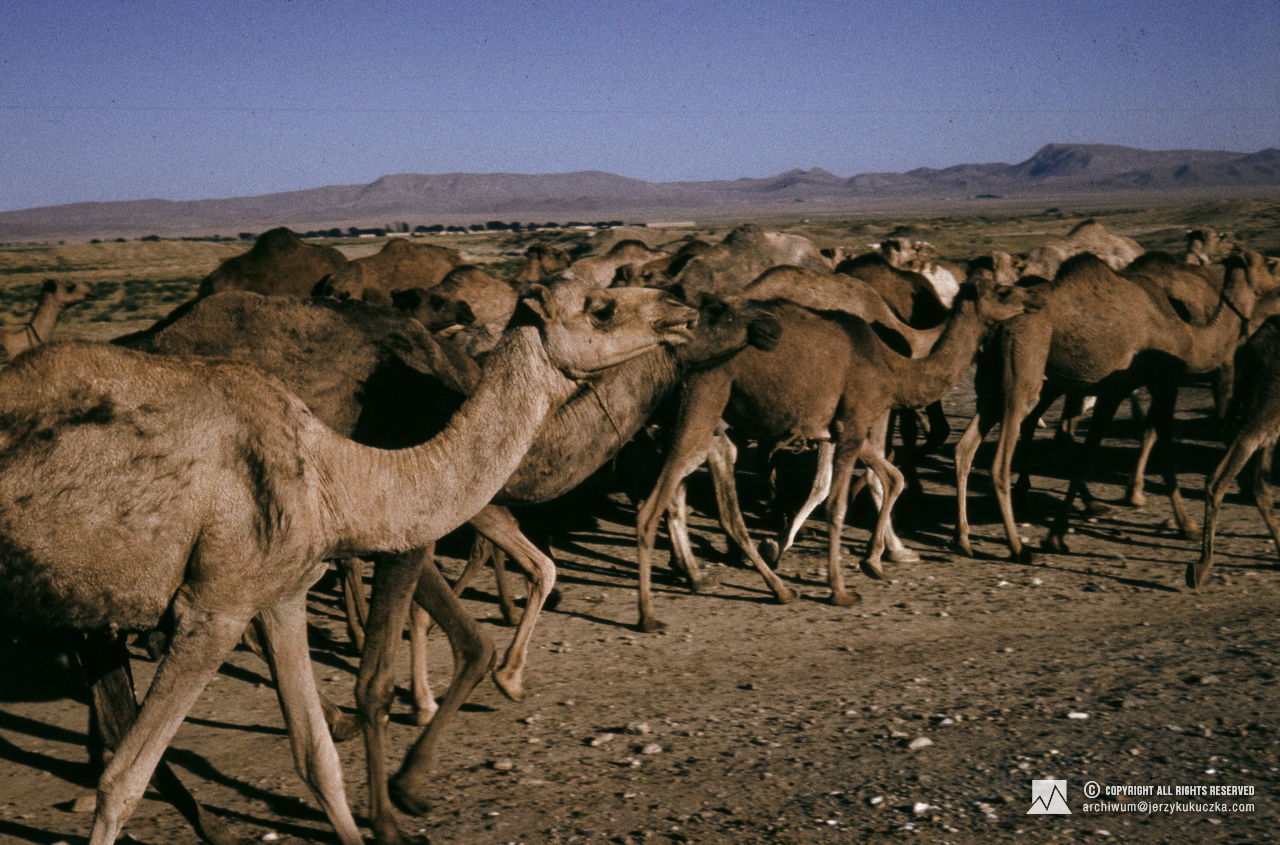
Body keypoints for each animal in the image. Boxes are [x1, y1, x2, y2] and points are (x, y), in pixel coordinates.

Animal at [0, 284, 695, 845]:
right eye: (601, 307)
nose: (681, 308)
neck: (336, 472)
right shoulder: (214, 606)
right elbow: (125, 782)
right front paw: (394, 808)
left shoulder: (279, 594)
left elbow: (317, 757)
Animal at [633, 278, 1042, 631]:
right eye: (1003, 290)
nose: (1034, 301)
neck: (893, 367)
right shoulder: (853, 424)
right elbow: (837, 504)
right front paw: (841, 589)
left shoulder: (840, 428)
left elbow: (889, 477)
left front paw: (872, 560)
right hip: (705, 402)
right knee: (659, 503)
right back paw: (651, 614)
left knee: (675, 495)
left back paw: (747, 584)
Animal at [951, 252, 1260, 562]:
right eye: (1267, 266)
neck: (1187, 336)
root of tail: (997, 327)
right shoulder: (1154, 383)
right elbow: (1162, 452)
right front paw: (1188, 526)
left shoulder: (1117, 390)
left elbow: (1089, 456)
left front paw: (1056, 536)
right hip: (1022, 371)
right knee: (1001, 461)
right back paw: (1017, 547)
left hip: (993, 386)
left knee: (966, 447)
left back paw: (963, 539)